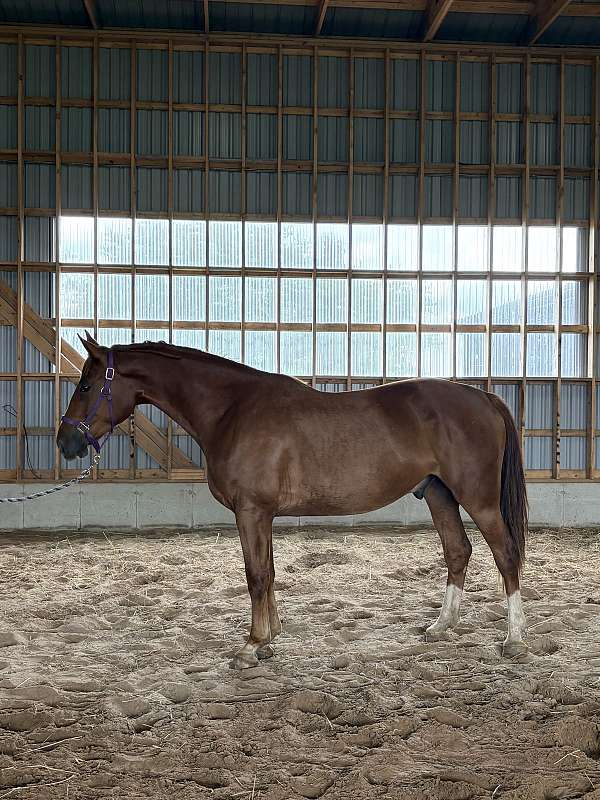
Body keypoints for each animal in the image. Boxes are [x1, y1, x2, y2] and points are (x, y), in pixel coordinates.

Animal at [57, 334, 528, 669]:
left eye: (86, 385)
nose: (65, 442)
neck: (232, 409)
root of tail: (483, 396)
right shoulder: (261, 514)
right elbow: (267, 571)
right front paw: (269, 639)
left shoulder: (251, 511)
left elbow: (255, 576)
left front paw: (250, 647)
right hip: (438, 494)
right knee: (458, 551)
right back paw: (441, 626)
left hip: (478, 499)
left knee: (505, 554)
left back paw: (514, 640)